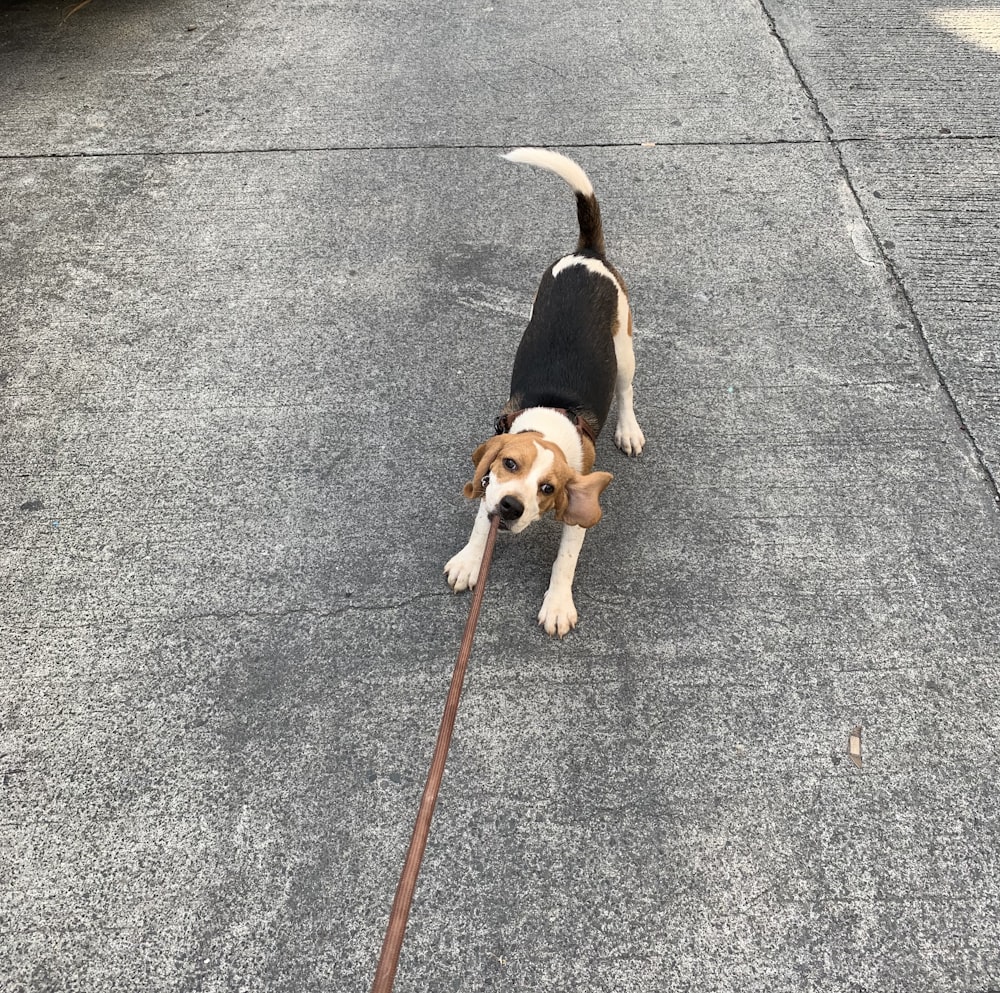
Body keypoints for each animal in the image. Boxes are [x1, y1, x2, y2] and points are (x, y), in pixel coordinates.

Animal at [446, 151, 648, 640]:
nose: (511, 506)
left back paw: (629, 429)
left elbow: (564, 561)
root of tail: (587, 254)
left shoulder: (579, 508)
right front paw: (470, 560)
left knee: (627, 390)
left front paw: (557, 605)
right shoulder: (489, 484)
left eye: (548, 488)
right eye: (509, 464)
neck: (551, 420)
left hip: (624, 349)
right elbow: (480, 523)